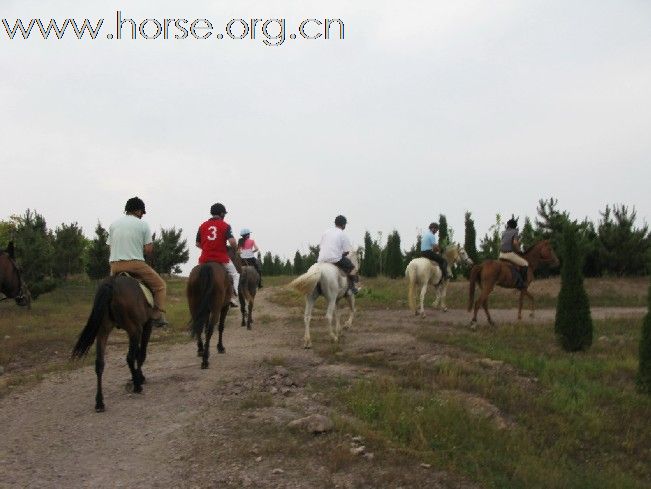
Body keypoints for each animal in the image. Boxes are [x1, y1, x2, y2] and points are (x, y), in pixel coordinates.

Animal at [71, 274, 157, 412]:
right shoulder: (147, 325)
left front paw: (138, 376)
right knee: (130, 357)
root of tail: (112, 282)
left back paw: (99, 403)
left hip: (103, 330)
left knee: (99, 364)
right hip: (135, 330)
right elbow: (141, 354)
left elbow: (138, 353)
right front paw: (139, 378)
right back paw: (137, 386)